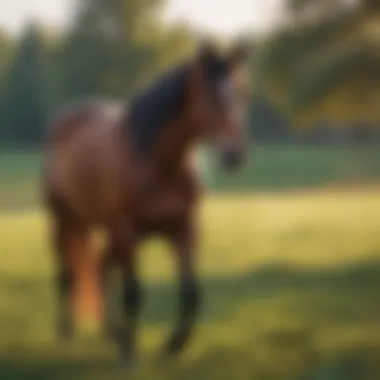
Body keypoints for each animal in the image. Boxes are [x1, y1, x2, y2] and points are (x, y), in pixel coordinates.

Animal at [43, 40, 249, 366]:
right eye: (210, 96)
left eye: (242, 93)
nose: (235, 155)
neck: (157, 163)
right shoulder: (127, 231)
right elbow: (133, 293)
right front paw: (129, 353)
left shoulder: (183, 229)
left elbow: (191, 291)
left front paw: (174, 345)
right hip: (65, 221)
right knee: (67, 273)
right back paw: (67, 333)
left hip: (108, 233)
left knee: (99, 266)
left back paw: (110, 333)